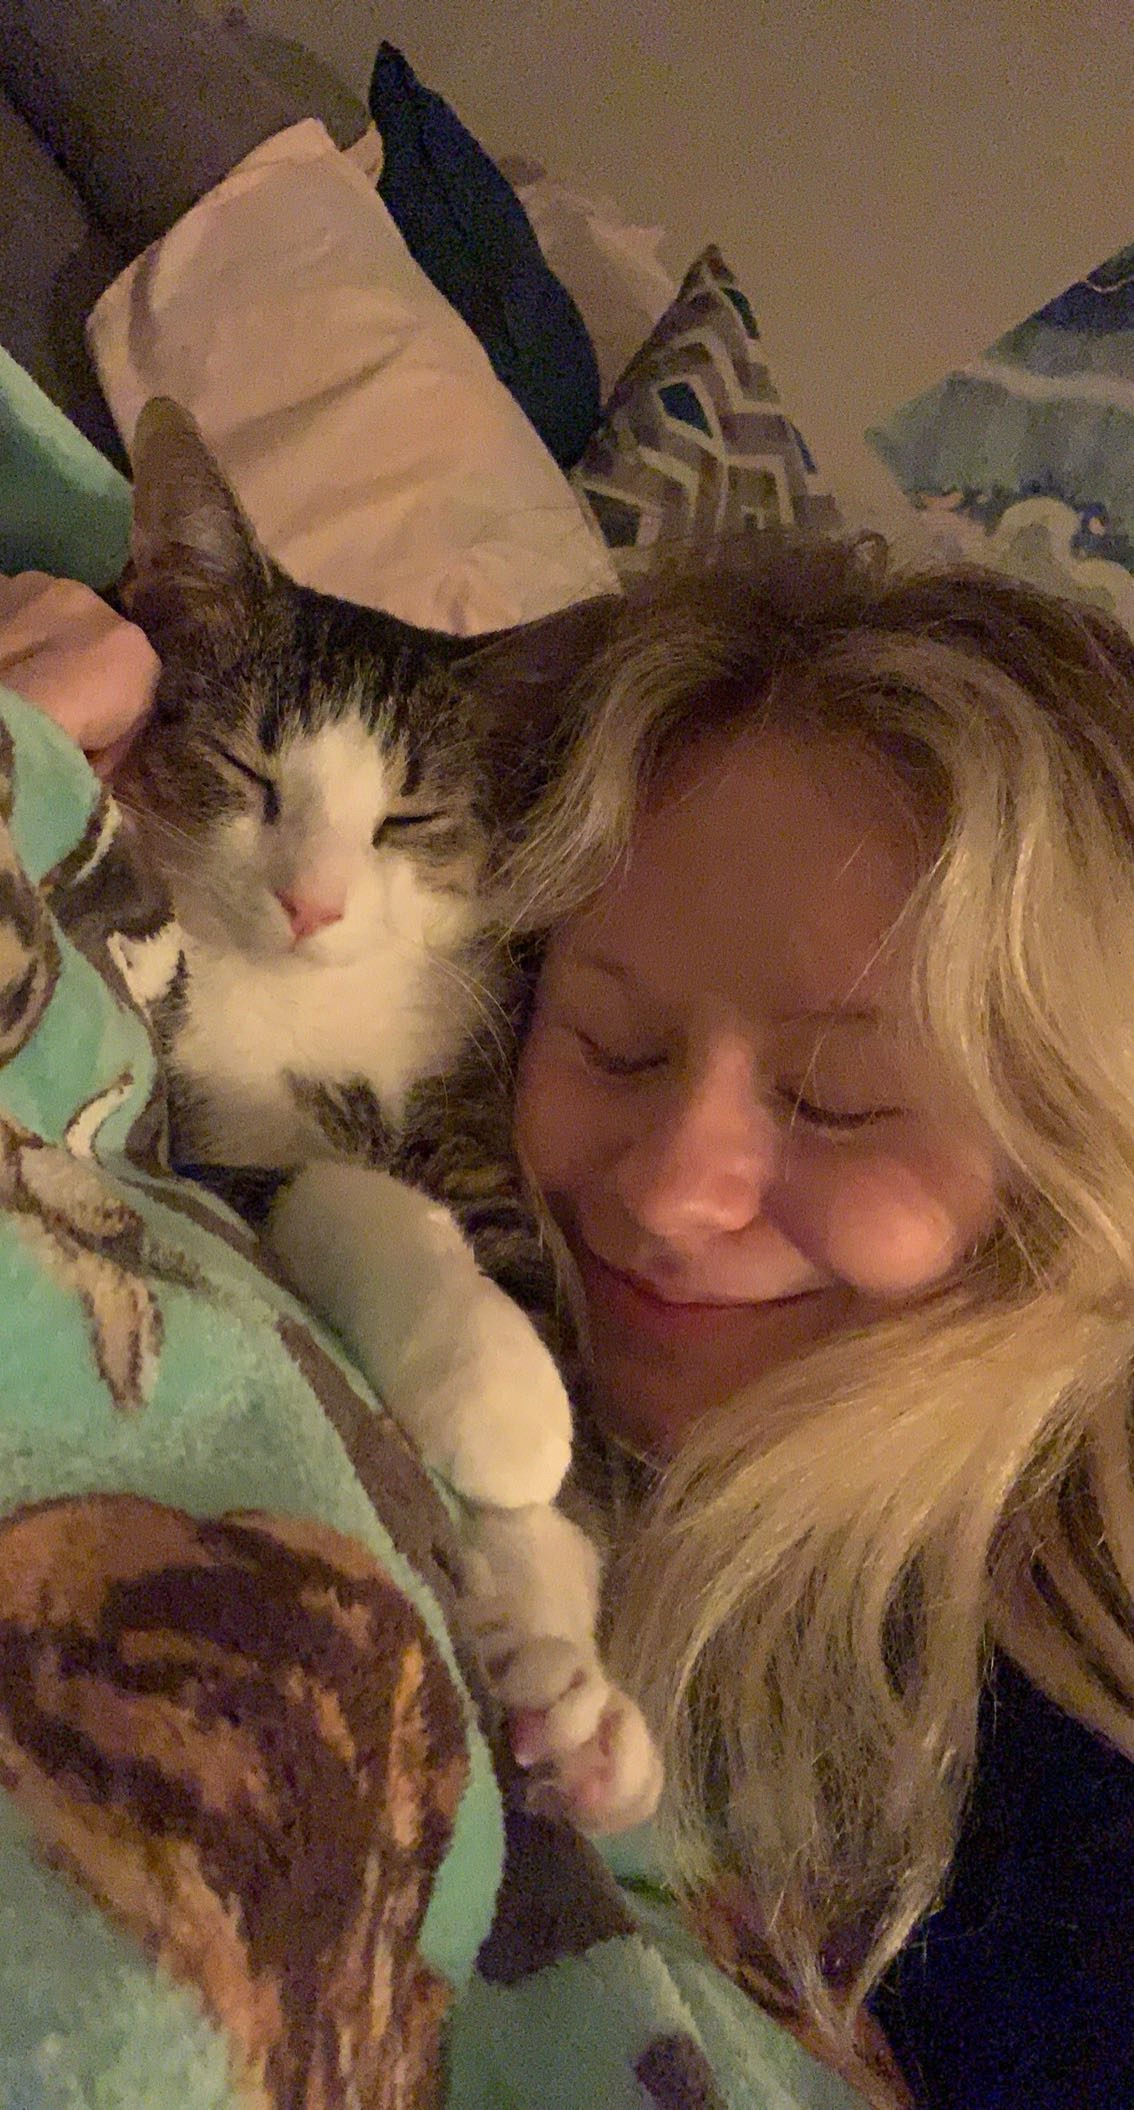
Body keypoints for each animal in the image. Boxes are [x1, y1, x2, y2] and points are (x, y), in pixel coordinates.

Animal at [113, 397, 661, 1834]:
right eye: (246, 766)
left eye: (407, 815)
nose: (311, 901)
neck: (311, 1004)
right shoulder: (202, 1132)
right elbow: (338, 1190)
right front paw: (494, 1389)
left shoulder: (476, 1095)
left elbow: (517, 1271)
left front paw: (565, 1671)